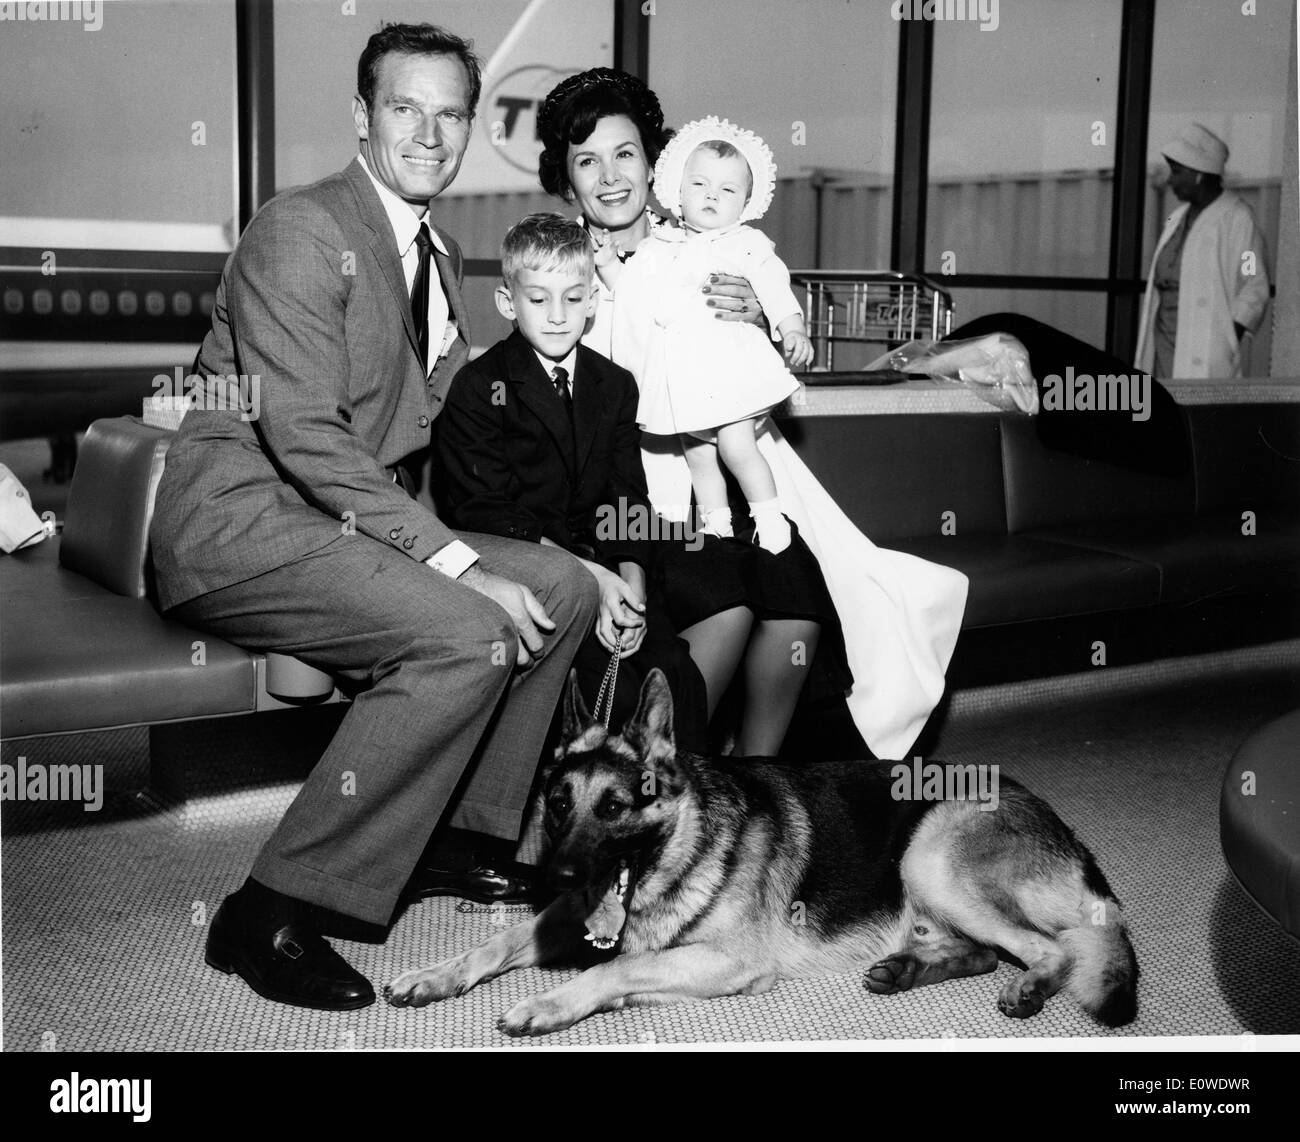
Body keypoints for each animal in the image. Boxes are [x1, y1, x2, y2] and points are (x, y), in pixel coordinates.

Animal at [384, 671, 1138, 1035]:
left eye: (616, 807)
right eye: (559, 802)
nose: (556, 875)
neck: (684, 846)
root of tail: (1060, 823)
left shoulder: (728, 960)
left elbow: (612, 969)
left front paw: (549, 1003)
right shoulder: (571, 914)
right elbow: (501, 941)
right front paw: (436, 973)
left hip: (929, 859)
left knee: (1050, 949)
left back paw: (1029, 987)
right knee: (982, 951)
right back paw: (903, 969)